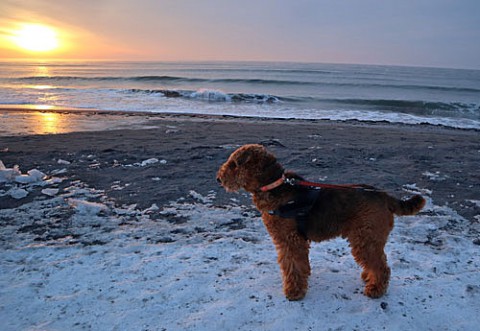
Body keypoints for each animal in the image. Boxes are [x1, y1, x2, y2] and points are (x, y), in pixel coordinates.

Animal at [216, 144, 426, 302]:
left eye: (234, 164)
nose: (219, 179)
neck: (275, 187)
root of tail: (384, 196)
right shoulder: (292, 241)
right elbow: (299, 265)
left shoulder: (290, 240)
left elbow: (293, 266)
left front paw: (294, 292)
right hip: (368, 238)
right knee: (377, 263)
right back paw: (369, 278)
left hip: (365, 238)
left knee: (382, 267)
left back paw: (375, 289)